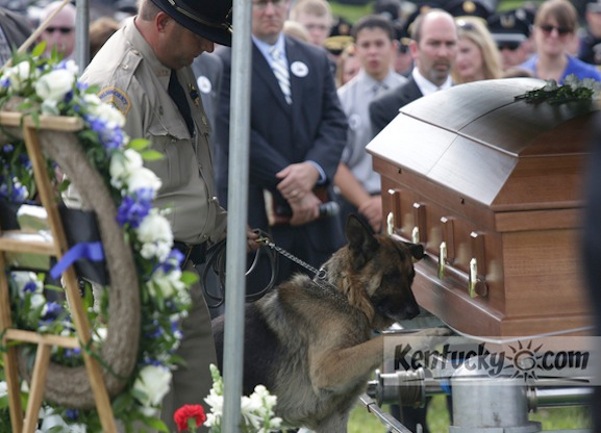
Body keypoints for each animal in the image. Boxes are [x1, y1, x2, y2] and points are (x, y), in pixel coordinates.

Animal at [212, 214, 440, 430]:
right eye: (391, 276)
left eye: (411, 277)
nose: (415, 311)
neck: (343, 297)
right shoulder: (328, 367)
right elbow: (381, 341)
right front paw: (429, 334)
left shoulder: (333, 419)